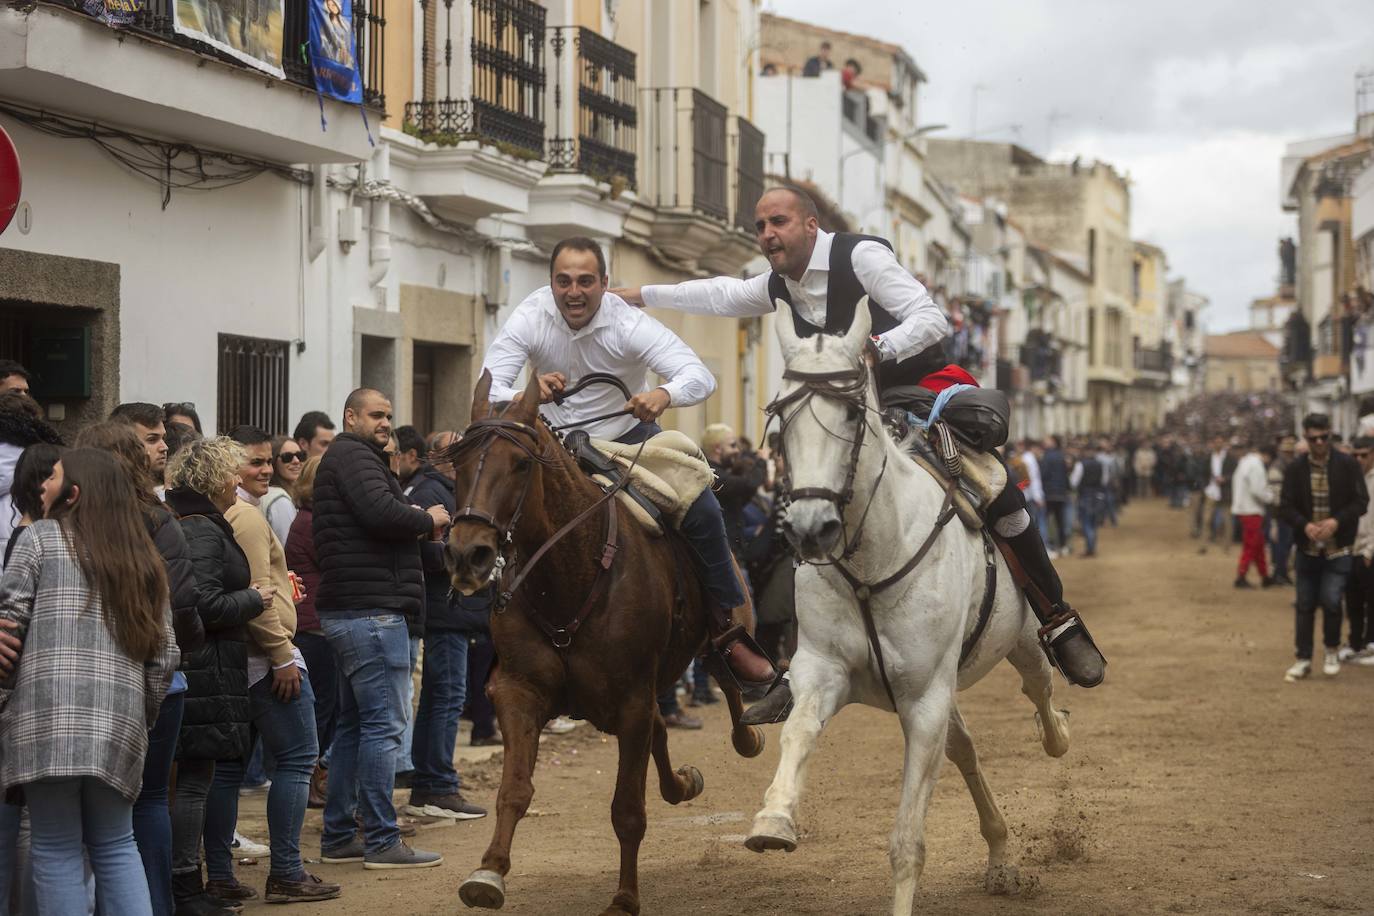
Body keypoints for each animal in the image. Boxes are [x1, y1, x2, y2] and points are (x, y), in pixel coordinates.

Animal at [445, 370, 769, 916]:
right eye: (458, 463)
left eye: (519, 463)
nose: (469, 554)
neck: (572, 575)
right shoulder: (519, 693)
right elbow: (514, 790)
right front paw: (487, 873)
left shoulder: (631, 701)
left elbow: (627, 810)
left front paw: (623, 898)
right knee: (665, 726)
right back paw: (684, 782)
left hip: (717, 635)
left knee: (728, 680)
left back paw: (748, 730)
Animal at [752, 298, 1071, 911]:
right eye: (781, 418)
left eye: (852, 415)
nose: (810, 529)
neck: (872, 563)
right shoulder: (824, 671)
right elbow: (797, 732)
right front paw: (773, 820)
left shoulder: (923, 698)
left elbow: (907, 841)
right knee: (965, 748)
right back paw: (1001, 856)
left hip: (1019, 641)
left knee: (1041, 689)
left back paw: (1060, 730)